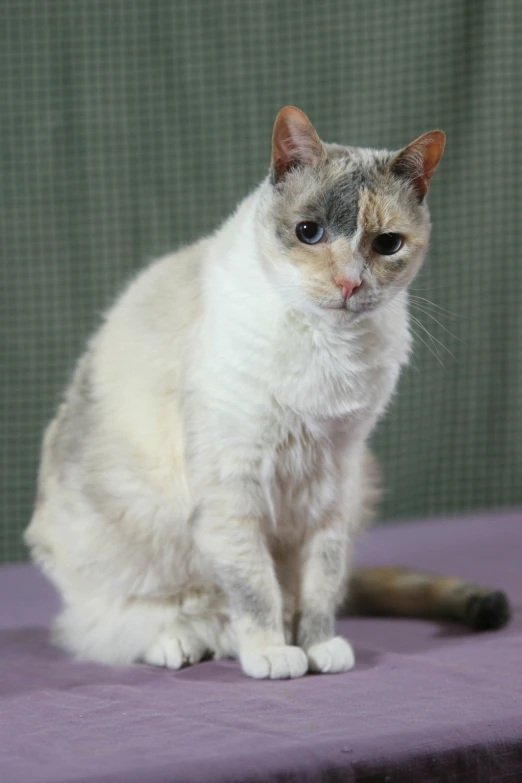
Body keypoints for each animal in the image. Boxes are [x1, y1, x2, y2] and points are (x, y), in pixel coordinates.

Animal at [25, 105, 508, 680]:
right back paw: (187, 643)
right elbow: (256, 590)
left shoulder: (332, 480)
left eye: (386, 244)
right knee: (127, 624)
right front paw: (273, 653)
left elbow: (319, 583)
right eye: (309, 232)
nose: (349, 284)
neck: (327, 349)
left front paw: (318, 647)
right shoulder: (234, 488)